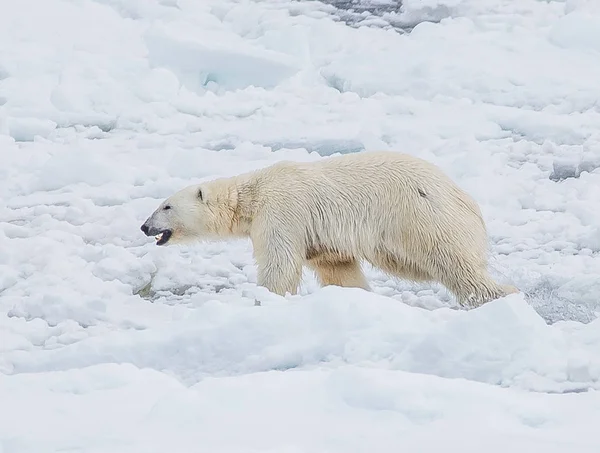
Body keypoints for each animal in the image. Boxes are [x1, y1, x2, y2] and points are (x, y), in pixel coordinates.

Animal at [141, 150, 516, 306]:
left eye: (166, 206)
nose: (144, 226)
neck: (254, 193)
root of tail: (465, 199)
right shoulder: (320, 237)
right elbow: (337, 266)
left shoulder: (282, 210)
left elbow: (280, 263)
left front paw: (269, 298)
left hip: (424, 218)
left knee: (454, 264)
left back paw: (498, 297)